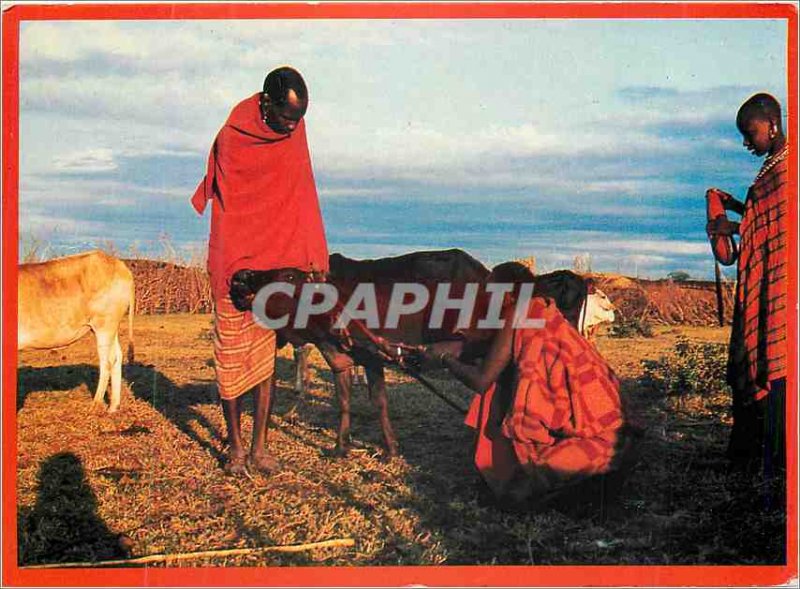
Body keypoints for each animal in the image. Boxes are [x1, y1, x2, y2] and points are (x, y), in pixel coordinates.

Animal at [19, 250, 136, 412]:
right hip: (111, 327)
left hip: (105, 324)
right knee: (117, 356)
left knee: (108, 361)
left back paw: (96, 404)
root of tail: (119, 264)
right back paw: (113, 406)